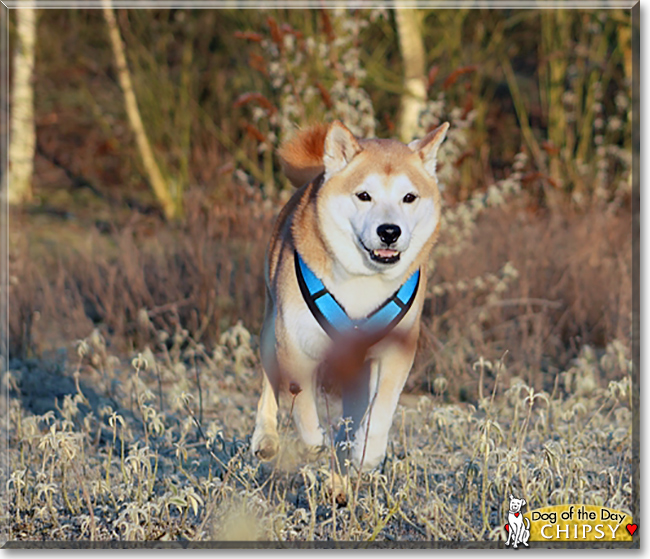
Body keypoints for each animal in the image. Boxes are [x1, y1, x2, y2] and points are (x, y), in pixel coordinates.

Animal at [251, 120, 448, 484]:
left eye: (409, 197)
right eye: (364, 195)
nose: (389, 231)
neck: (363, 281)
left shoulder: (397, 350)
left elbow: (382, 407)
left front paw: (366, 454)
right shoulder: (296, 344)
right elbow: (301, 402)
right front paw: (314, 443)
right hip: (272, 329)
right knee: (270, 386)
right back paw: (267, 438)